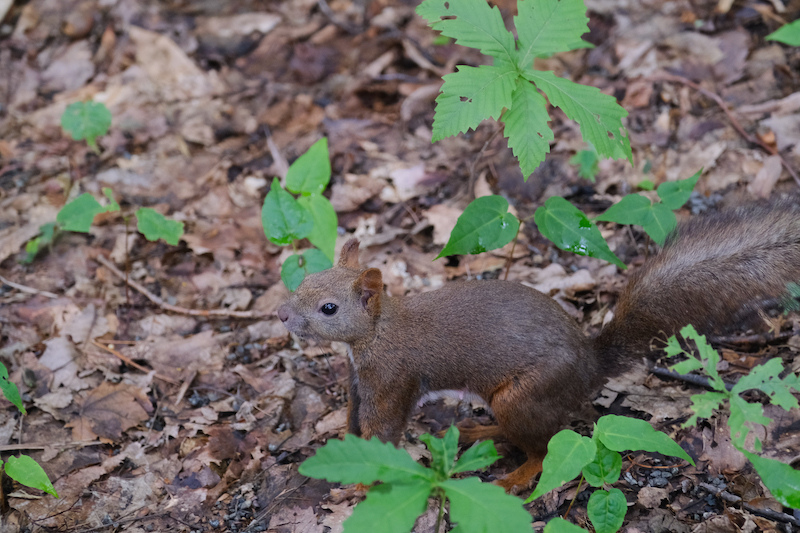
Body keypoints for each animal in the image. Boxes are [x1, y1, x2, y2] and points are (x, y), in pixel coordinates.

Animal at [276, 200, 800, 490]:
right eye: (305, 280)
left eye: (328, 308)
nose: (282, 314)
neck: (376, 331)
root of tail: (590, 367)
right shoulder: (357, 381)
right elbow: (354, 419)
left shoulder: (391, 379)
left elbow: (381, 432)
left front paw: (362, 481)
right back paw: (481, 432)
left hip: (523, 396)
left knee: (544, 450)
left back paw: (516, 478)